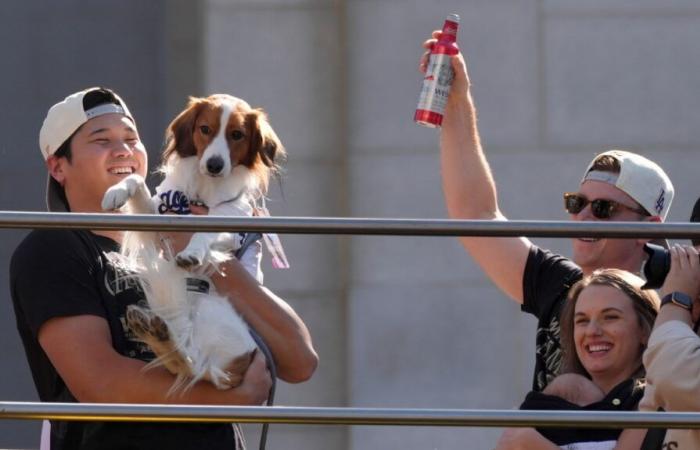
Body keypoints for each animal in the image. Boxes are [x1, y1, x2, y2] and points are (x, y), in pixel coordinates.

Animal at [100, 95, 284, 394]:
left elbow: (206, 231)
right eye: (205, 129)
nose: (214, 165)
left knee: (194, 365)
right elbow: (136, 179)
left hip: (214, 314)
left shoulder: (231, 220)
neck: (204, 191)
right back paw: (155, 333)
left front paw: (192, 253)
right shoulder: (158, 220)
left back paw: (161, 337)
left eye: (237, 135)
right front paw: (116, 191)